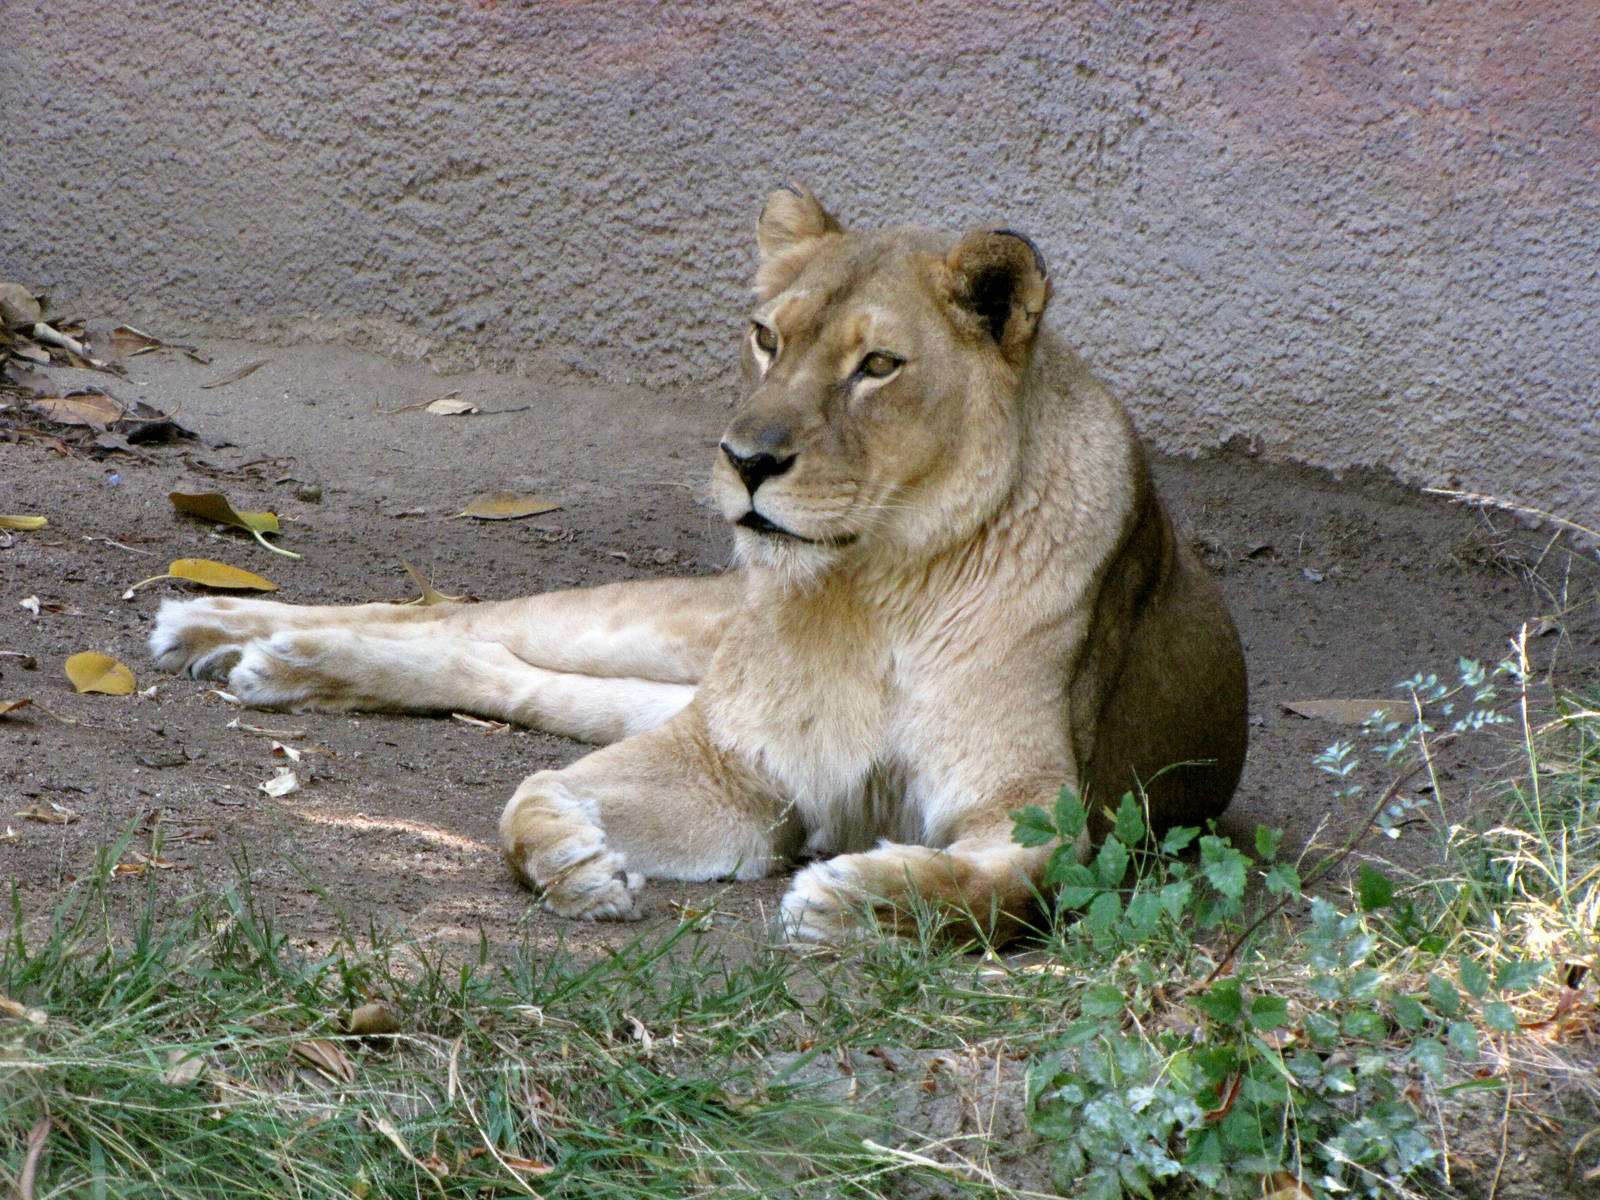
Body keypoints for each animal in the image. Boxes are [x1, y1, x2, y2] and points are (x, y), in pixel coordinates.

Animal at [148, 187, 1247, 944]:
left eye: (877, 366)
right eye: (765, 338)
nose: (747, 462)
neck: (874, 586)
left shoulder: (1041, 807)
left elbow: (1003, 882)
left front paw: (853, 899)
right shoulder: (731, 760)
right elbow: (524, 799)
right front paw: (573, 858)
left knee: (500, 669)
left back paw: (277, 662)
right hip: (668, 634)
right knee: (466, 618)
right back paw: (223, 632)